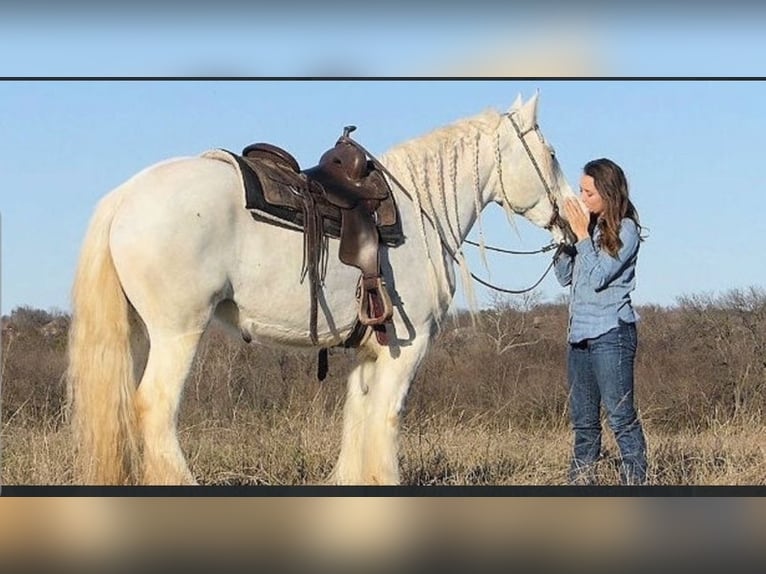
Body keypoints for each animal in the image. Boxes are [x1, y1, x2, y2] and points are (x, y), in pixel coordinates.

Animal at [67, 91, 576, 486]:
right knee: (155, 408)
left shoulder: (369, 353)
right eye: (552, 155)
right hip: (177, 332)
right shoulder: (407, 350)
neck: (420, 214)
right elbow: (386, 421)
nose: (574, 222)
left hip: (139, 333)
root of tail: (127, 196)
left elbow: (359, 422)